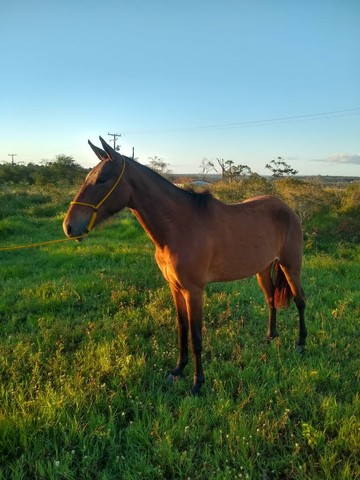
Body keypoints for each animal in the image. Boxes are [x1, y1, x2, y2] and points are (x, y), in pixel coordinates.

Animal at [63, 137, 306, 396]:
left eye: (101, 180)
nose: (69, 226)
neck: (179, 227)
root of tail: (287, 208)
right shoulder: (175, 288)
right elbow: (182, 329)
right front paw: (178, 369)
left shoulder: (194, 291)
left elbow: (196, 337)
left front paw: (198, 383)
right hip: (262, 269)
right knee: (270, 300)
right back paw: (270, 337)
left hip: (291, 266)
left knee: (300, 301)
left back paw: (301, 344)